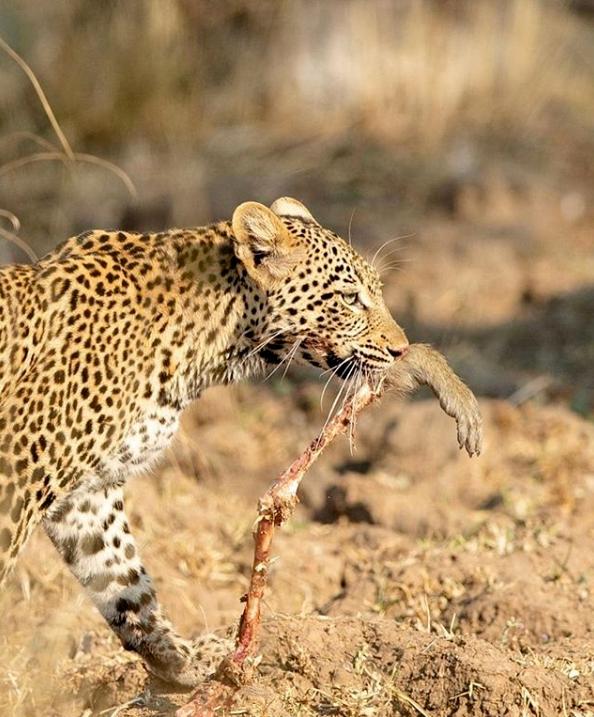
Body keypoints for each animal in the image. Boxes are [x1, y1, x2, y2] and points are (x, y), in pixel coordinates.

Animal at [0, 194, 408, 684]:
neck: (210, 343)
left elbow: (123, 576)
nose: (403, 349)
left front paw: (184, 663)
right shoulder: (15, 466)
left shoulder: (89, 495)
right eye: (350, 299)